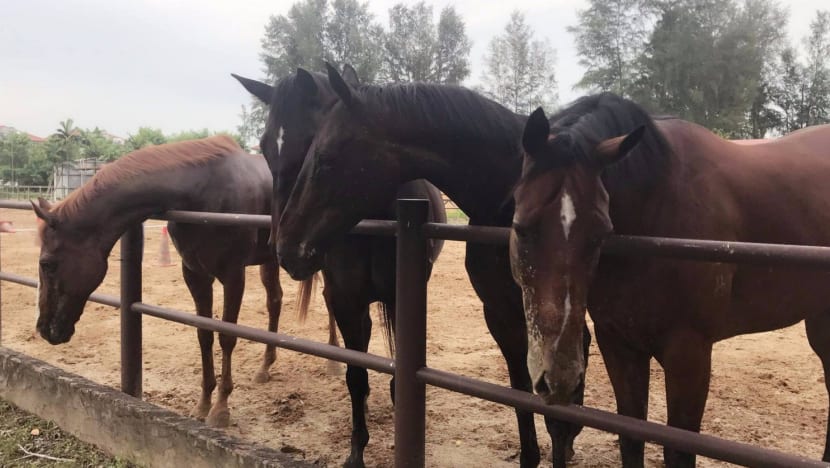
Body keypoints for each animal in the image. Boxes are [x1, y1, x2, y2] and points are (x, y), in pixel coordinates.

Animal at [32, 135, 339, 428]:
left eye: (47, 264)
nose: (45, 329)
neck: (202, 193)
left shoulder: (233, 275)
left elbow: (227, 336)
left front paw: (221, 408)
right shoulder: (195, 274)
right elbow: (204, 334)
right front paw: (203, 403)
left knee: (328, 299)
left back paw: (333, 360)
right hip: (270, 260)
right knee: (275, 301)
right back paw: (265, 367)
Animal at [234, 66, 446, 468]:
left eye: (313, 143)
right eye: (265, 145)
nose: (280, 243)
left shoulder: (400, 299)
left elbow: (398, 375)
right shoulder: (346, 298)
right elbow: (356, 375)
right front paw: (356, 451)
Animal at [510, 93, 830, 467]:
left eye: (600, 233)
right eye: (521, 228)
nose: (560, 379)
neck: (659, 207)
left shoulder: (689, 355)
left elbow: (678, 449)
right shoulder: (619, 344)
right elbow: (631, 437)